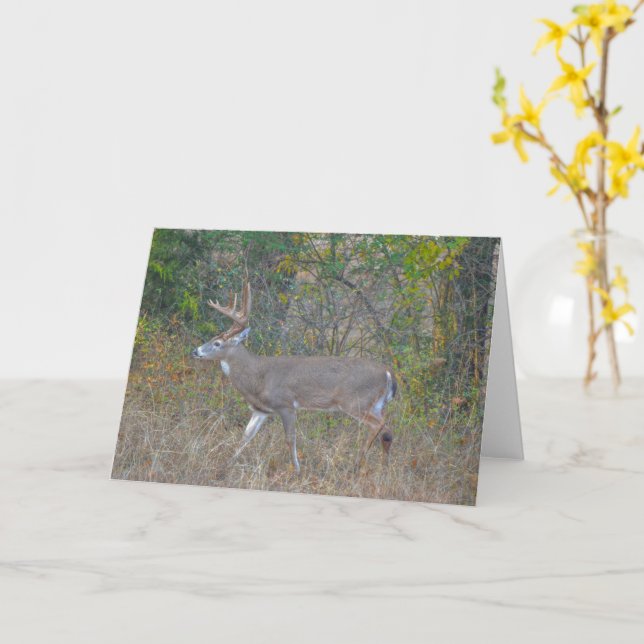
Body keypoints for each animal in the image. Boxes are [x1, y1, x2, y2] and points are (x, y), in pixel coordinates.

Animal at [191, 280, 397, 474]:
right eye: (212, 338)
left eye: (217, 343)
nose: (195, 351)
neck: (258, 377)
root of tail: (388, 373)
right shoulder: (261, 410)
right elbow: (246, 436)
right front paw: (228, 463)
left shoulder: (286, 404)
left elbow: (290, 439)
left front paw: (296, 470)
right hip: (376, 404)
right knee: (387, 430)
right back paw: (383, 467)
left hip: (355, 401)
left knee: (378, 425)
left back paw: (357, 463)